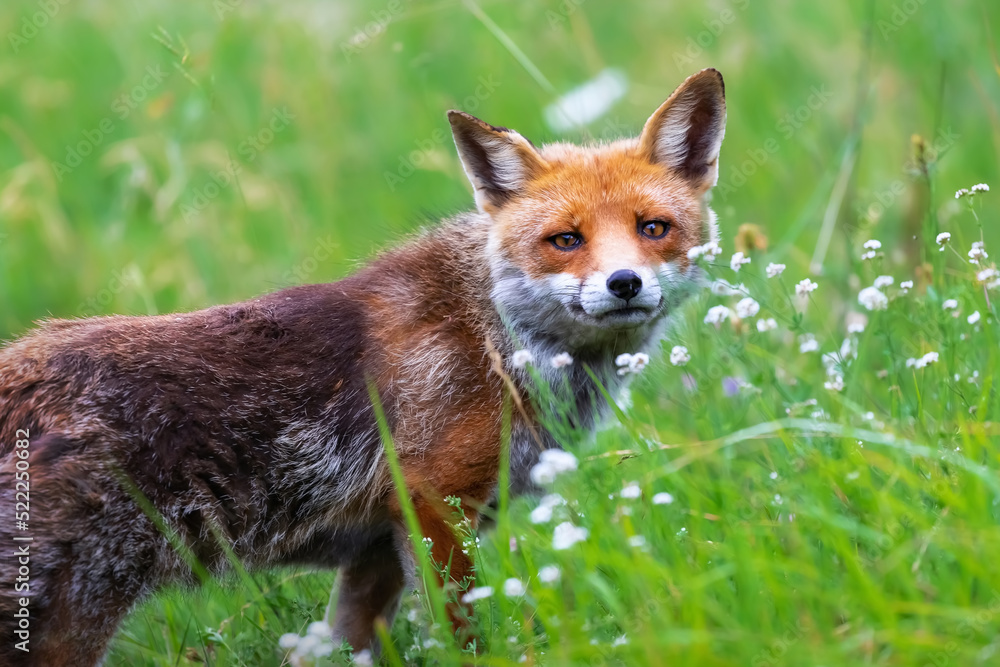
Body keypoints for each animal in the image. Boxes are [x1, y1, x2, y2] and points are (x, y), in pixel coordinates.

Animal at [0, 68, 726, 665]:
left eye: (653, 228)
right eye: (566, 240)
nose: (625, 283)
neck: (493, 334)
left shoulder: (377, 548)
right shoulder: (436, 502)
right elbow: (463, 634)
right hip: (71, 620)